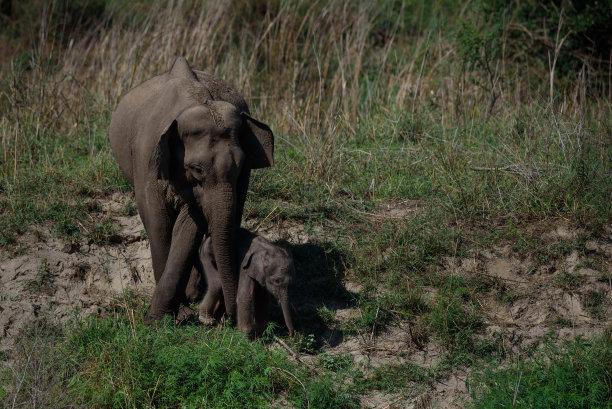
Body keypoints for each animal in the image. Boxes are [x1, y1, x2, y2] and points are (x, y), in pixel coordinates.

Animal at [109, 57, 272, 322]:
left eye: (240, 166)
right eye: (196, 169)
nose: (226, 316)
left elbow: (190, 225)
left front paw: (170, 314)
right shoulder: (148, 161)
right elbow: (158, 221)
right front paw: (168, 316)